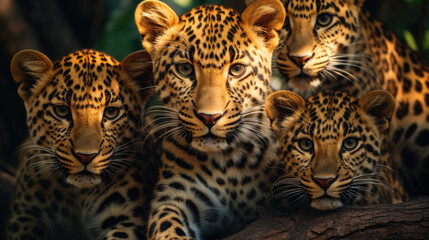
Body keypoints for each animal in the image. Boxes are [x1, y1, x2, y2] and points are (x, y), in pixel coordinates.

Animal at [6, 49, 156, 240]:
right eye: (62, 110)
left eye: (111, 112)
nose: (86, 156)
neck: (77, 195)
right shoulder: (24, 214)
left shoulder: (128, 220)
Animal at [134, 0, 286, 238]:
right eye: (185, 69)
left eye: (237, 69)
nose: (209, 117)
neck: (230, 161)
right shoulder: (175, 196)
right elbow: (167, 226)